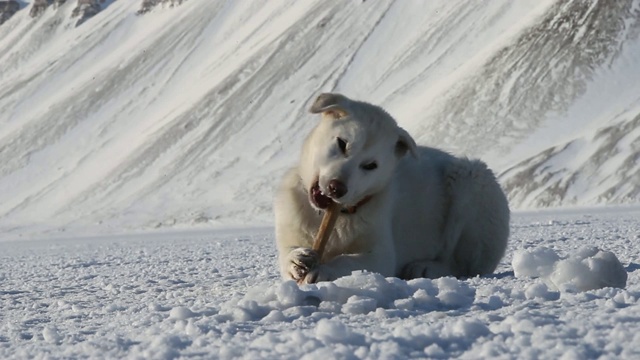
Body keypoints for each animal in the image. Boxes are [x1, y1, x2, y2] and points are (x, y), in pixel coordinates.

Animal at [276, 93, 510, 284]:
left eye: (371, 165)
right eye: (342, 143)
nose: (337, 188)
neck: (338, 216)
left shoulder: (381, 255)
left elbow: (347, 261)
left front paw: (324, 270)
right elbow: (287, 253)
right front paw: (296, 259)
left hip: (471, 181)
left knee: (463, 265)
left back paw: (425, 268)